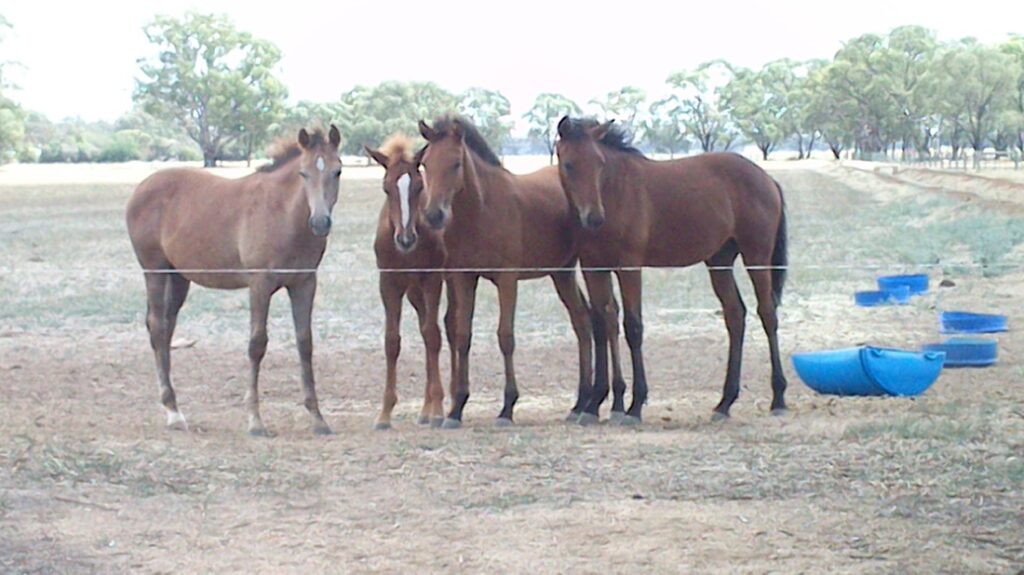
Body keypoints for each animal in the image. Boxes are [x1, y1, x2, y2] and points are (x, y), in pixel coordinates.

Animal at [126, 125, 343, 436]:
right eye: (303, 173)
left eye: (337, 171)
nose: (320, 223)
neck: (282, 213)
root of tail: (141, 188)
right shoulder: (259, 284)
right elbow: (257, 344)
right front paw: (255, 421)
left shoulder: (304, 284)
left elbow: (305, 343)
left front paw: (318, 418)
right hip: (154, 271)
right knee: (157, 327)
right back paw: (173, 413)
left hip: (178, 278)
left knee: (165, 329)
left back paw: (173, 407)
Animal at [364, 135, 456, 430]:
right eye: (386, 187)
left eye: (418, 186)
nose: (405, 239)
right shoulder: (389, 283)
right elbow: (392, 341)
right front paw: (384, 414)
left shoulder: (432, 279)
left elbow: (434, 336)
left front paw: (438, 411)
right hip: (415, 292)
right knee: (425, 328)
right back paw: (425, 411)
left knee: (448, 327)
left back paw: (446, 403)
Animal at [418, 115, 617, 428]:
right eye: (426, 163)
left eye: (456, 163)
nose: (434, 215)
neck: (482, 210)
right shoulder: (464, 277)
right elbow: (463, 336)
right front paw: (456, 409)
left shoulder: (507, 279)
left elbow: (505, 337)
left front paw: (507, 407)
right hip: (562, 273)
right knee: (583, 322)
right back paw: (579, 403)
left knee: (597, 318)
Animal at [555, 117, 789, 425]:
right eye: (569, 164)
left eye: (599, 163)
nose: (594, 218)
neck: (616, 191)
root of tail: (767, 179)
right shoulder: (594, 268)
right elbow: (602, 324)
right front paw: (594, 405)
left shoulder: (629, 267)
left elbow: (633, 327)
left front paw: (634, 406)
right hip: (720, 261)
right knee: (736, 316)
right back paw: (724, 402)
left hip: (756, 257)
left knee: (768, 314)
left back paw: (778, 398)